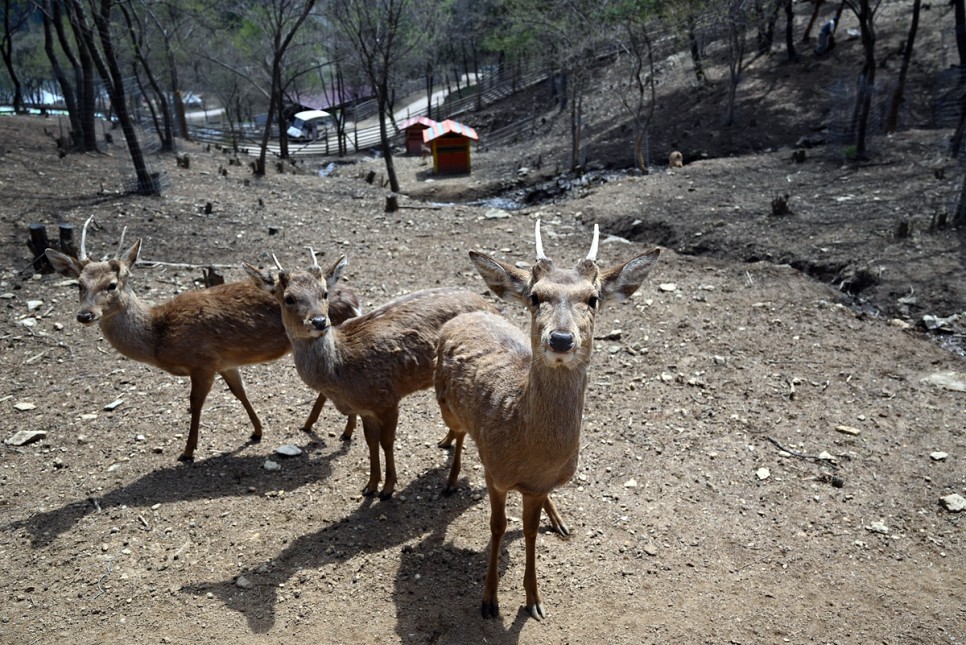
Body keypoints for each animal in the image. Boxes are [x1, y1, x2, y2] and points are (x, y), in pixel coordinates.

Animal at [45, 219, 364, 460]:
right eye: (79, 284)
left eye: (111, 285)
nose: (85, 315)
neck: (159, 335)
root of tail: (353, 300)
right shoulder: (224, 362)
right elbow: (240, 392)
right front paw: (257, 431)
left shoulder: (202, 361)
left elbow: (195, 403)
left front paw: (187, 451)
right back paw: (313, 425)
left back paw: (338, 429)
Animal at [246, 248, 500, 498]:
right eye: (288, 298)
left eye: (325, 293)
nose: (319, 321)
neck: (341, 373)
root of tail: (493, 307)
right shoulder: (365, 409)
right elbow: (370, 443)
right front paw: (370, 486)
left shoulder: (387, 399)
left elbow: (387, 443)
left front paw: (387, 488)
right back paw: (445, 441)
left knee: (462, 428)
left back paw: (451, 481)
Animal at [434, 220, 660, 620]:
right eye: (535, 297)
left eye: (593, 299)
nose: (561, 339)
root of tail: (467, 314)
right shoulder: (496, 473)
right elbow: (497, 527)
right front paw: (489, 600)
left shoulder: (537, 486)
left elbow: (528, 532)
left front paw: (534, 600)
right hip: (446, 403)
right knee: (459, 434)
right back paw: (449, 476)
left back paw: (559, 520)